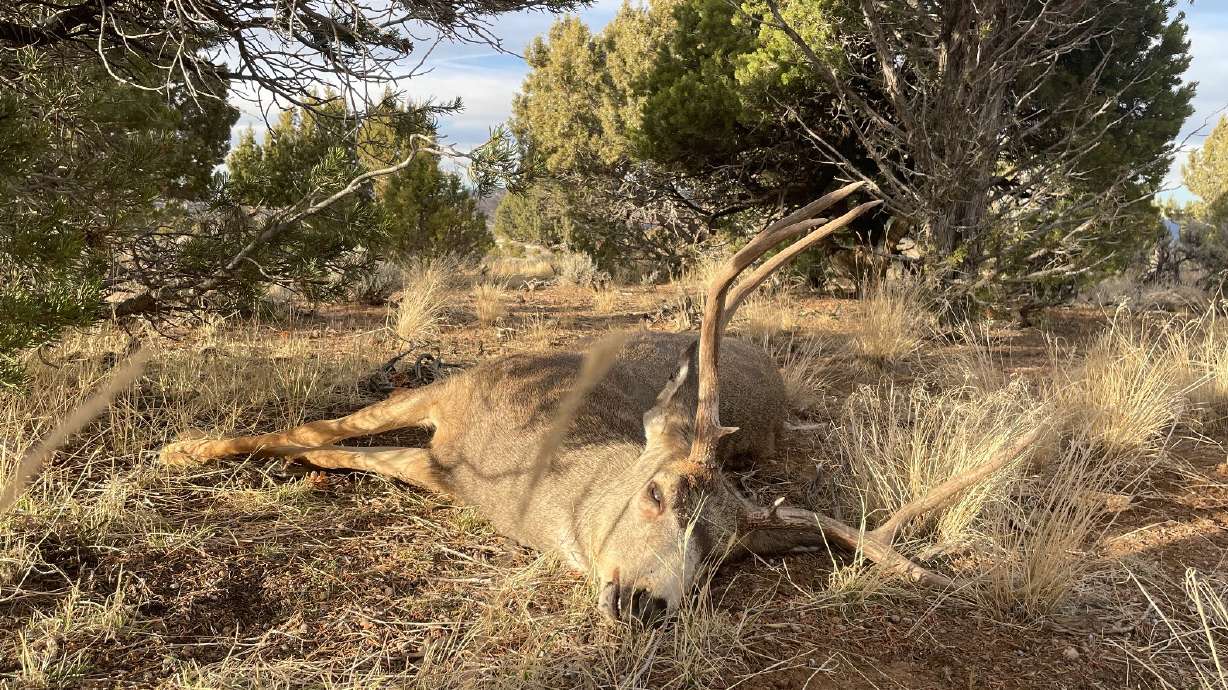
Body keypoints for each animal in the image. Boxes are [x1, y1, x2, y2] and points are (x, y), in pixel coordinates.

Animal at [159, 182, 1038, 622]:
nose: (648, 603)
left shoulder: (444, 473)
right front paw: (184, 449)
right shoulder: (453, 391)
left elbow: (337, 446)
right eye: (655, 493)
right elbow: (317, 426)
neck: (532, 474)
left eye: (724, 554)